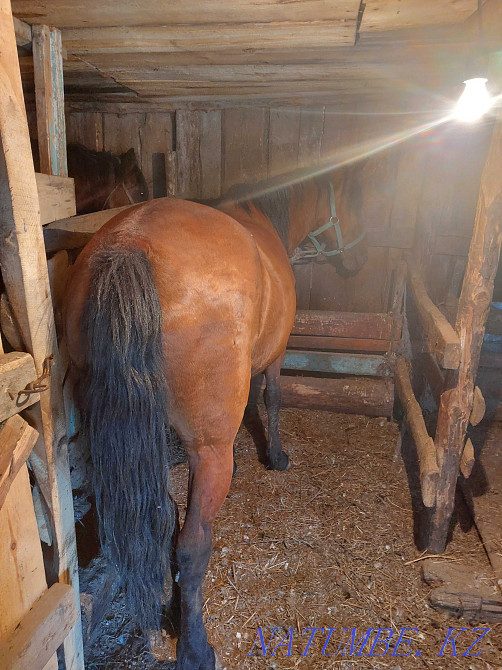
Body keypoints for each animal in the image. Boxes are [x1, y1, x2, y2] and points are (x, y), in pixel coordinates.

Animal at [63, 167, 368, 669]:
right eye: (352, 199)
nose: (357, 260)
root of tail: (130, 242)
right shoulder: (276, 356)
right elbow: (272, 399)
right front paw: (276, 456)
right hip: (207, 452)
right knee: (192, 547)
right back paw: (195, 647)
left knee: (162, 522)